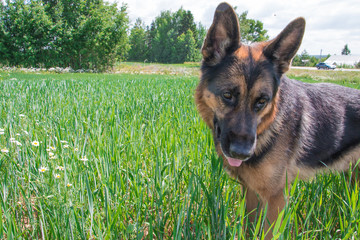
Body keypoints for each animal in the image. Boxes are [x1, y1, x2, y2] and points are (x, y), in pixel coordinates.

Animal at [195, 1, 360, 238]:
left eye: (262, 101)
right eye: (227, 95)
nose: (241, 153)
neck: (267, 128)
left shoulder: (276, 199)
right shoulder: (251, 192)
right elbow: (249, 229)